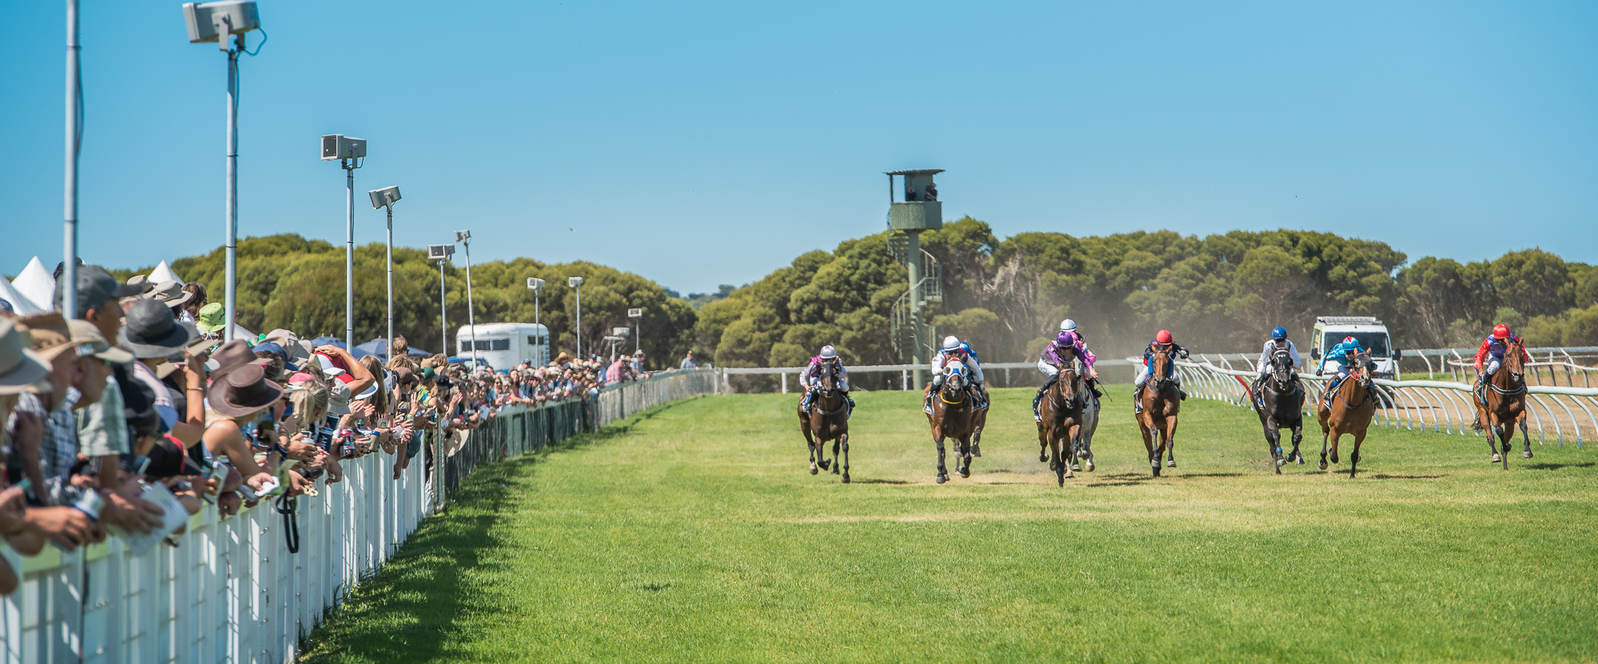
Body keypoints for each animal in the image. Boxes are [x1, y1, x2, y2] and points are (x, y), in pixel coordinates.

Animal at [1035, 349, 1086, 485]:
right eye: (1062, 380)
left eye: (1075, 380)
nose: (1070, 400)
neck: (1063, 407)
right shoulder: (1052, 431)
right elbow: (1055, 452)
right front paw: (1059, 475)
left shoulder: (1073, 425)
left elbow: (1069, 449)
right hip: (1041, 427)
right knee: (1044, 443)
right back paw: (1044, 457)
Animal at [1137, 344, 1188, 475]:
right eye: (1154, 361)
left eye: (1167, 362)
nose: (1159, 380)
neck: (1160, 390)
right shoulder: (1147, 414)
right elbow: (1153, 432)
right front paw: (1155, 461)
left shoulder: (1171, 415)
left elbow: (1169, 439)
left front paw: (1170, 460)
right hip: (1142, 424)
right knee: (1148, 444)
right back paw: (1154, 462)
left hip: (1163, 426)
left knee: (1163, 443)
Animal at [1470, 336, 1534, 466]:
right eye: (1508, 355)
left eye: (1522, 354)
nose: (1518, 375)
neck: (1507, 388)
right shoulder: (1493, 413)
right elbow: (1499, 431)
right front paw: (1504, 447)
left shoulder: (1520, 411)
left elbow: (1523, 426)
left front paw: (1527, 451)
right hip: (1483, 412)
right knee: (1490, 435)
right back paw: (1495, 454)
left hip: (1509, 421)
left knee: (1507, 433)